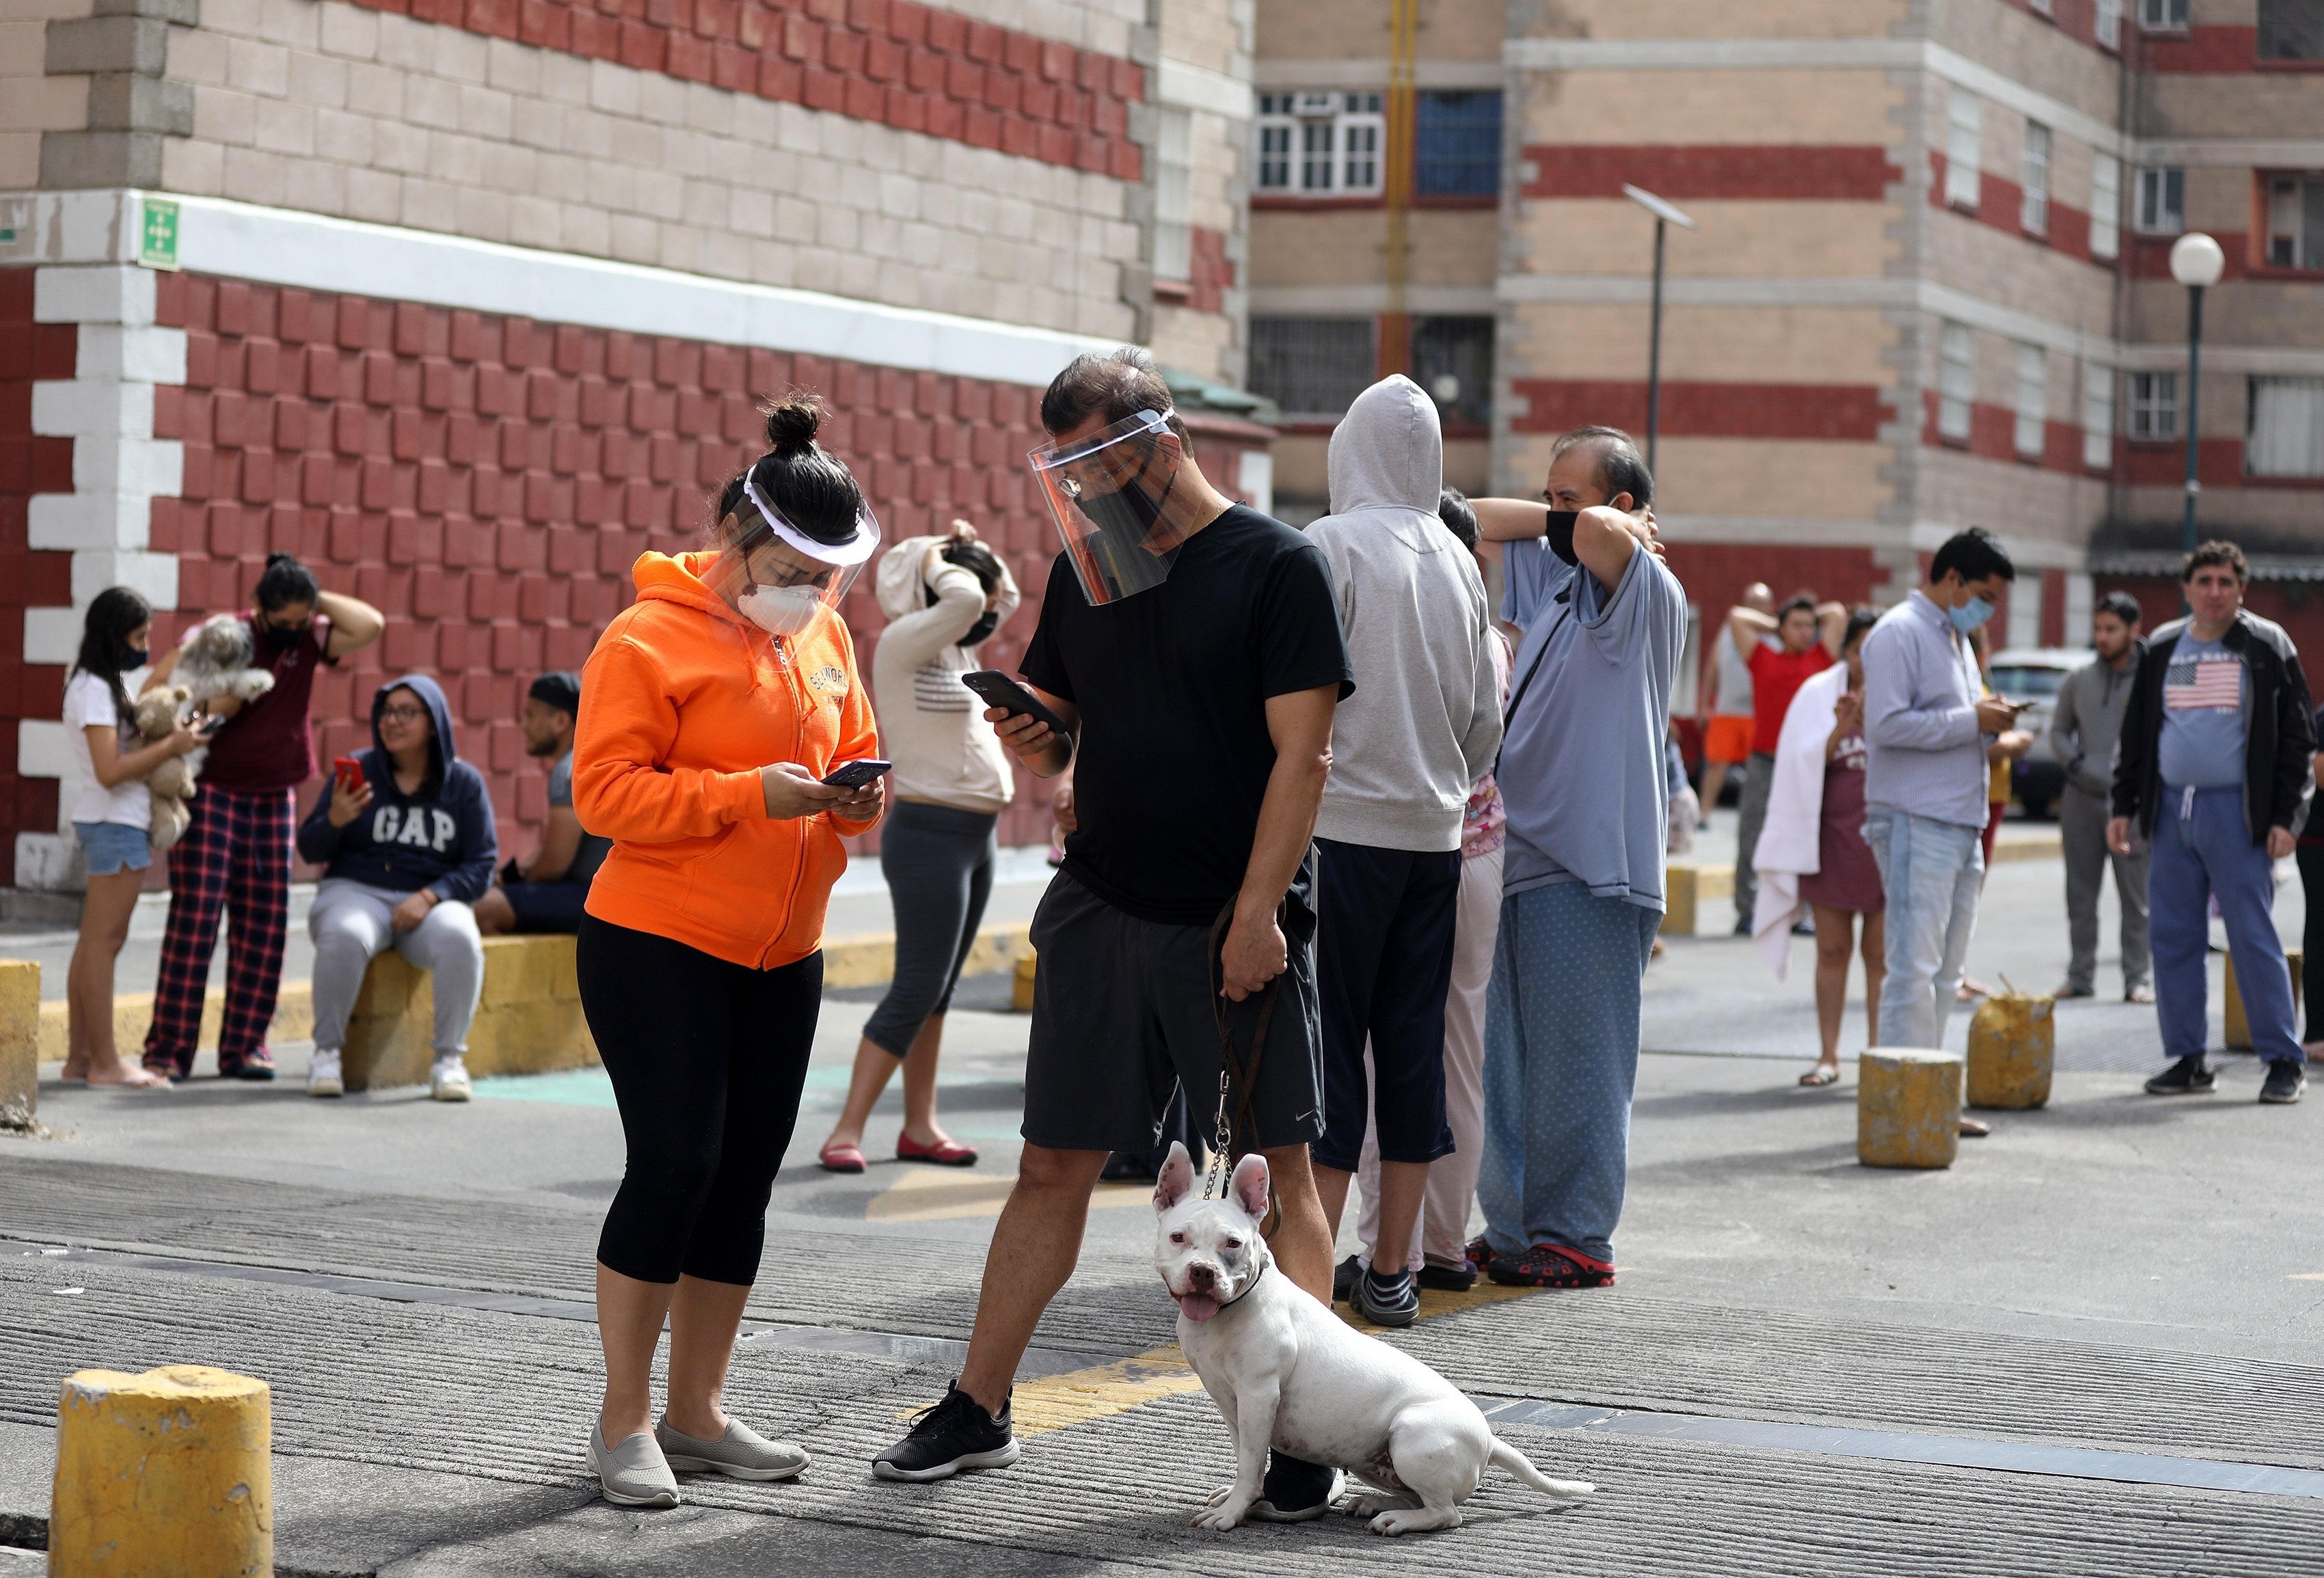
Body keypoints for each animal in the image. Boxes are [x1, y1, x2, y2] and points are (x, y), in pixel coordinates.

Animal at [1148, 1143, 1589, 1534]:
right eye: (1178, 1238)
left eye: (1233, 1243)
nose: (1203, 1271)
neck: (1229, 1310)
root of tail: (1488, 1439)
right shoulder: (1232, 1401)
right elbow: (1246, 1455)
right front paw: (1236, 1497)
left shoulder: (1259, 1396)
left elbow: (1251, 1464)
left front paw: (1235, 1511)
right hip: (1374, 1459)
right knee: (1419, 1498)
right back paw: (1376, 1503)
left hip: (1410, 1434)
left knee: (1446, 1513)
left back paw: (1397, 1520)